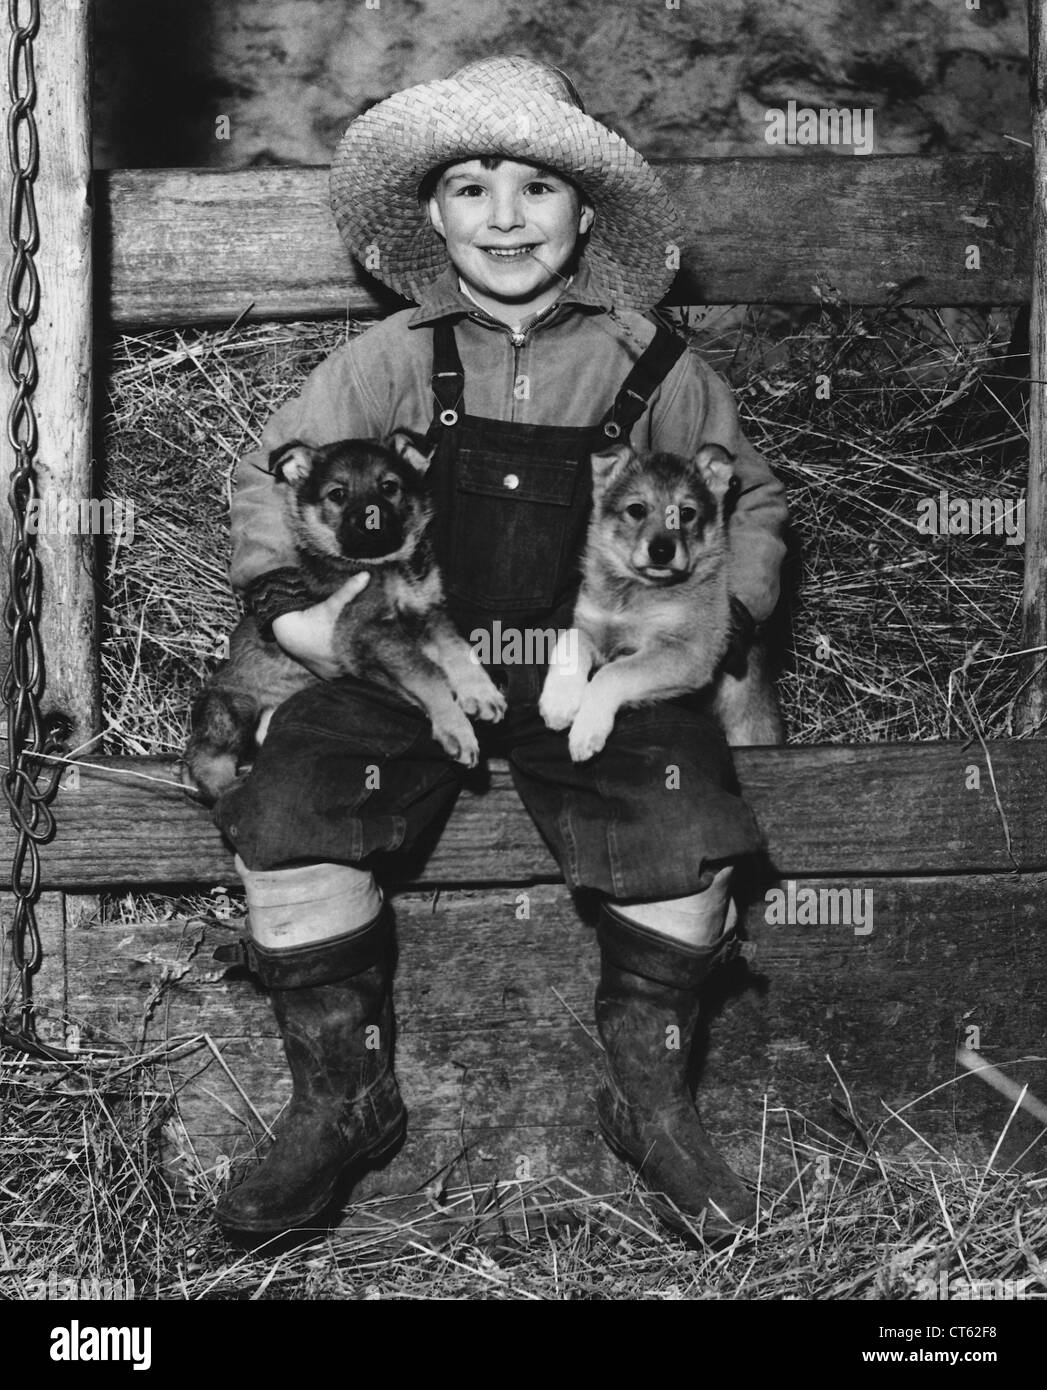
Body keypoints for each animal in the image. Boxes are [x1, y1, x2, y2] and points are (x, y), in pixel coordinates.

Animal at [183, 433, 506, 806]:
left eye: (389, 487)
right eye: (337, 494)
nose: (371, 520)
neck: (386, 564)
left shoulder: (429, 614)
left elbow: (457, 650)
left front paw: (480, 693)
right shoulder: (368, 630)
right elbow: (427, 674)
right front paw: (456, 726)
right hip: (232, 709)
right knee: (204, 764)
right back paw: (232, 786)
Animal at [542, 442, 778, 761]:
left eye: (687, 513)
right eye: (636, 509)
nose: (662, 550)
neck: (635, 591)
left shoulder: (685, 651)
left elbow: (611, 674)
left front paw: (586, 730)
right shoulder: (591, 623)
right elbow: (568, 643)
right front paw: (558, 702)